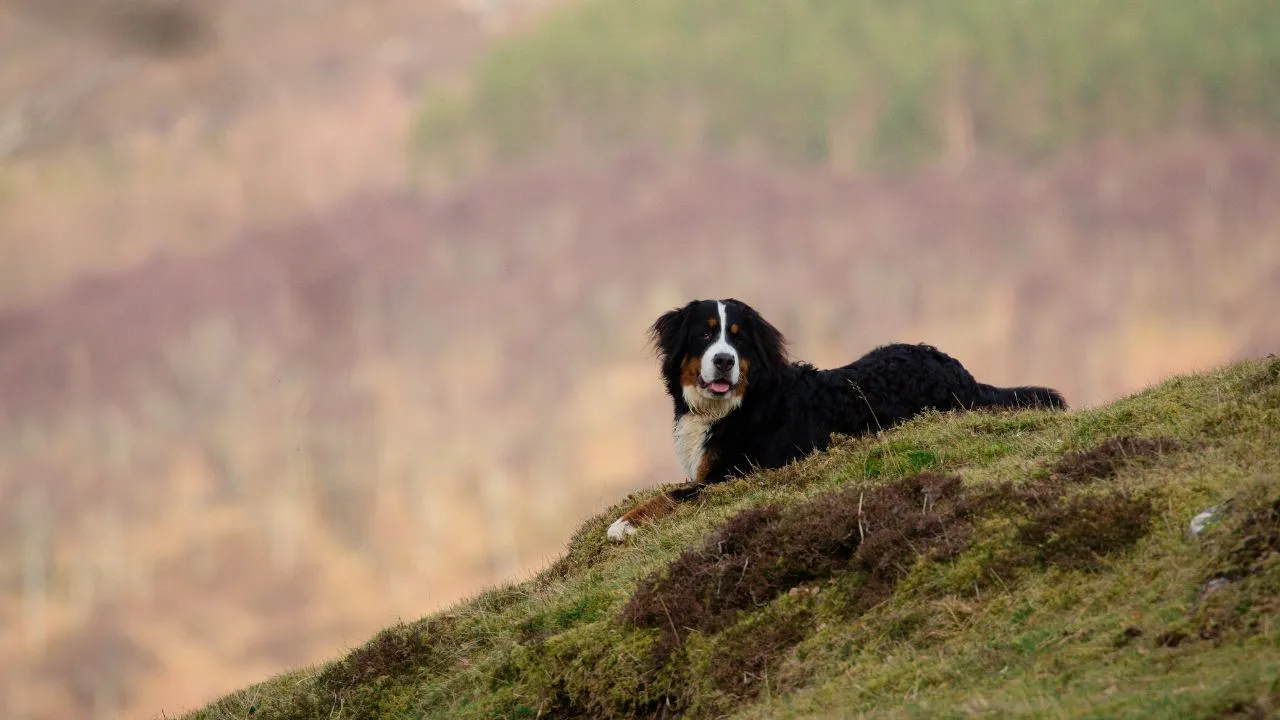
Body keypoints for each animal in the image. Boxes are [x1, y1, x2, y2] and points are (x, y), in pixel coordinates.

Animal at [604, 295, 1064, 538]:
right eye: (704, 333)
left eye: (738, 339)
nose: (723, 361)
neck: (736, 405)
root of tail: (960, 371)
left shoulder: (732, 476)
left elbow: (670, 496)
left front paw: (623, 523)